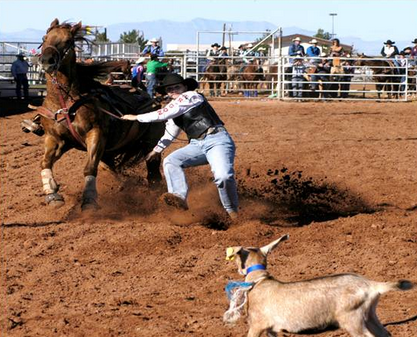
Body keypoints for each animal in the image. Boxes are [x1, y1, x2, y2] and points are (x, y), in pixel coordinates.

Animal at [35, 19, 164, 209]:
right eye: (44, 38)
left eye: (68, 41)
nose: (46, 61)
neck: (65, 103)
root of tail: (153, 101)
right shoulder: (56, 138)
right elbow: (45, 162)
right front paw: (52, 194)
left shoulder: (95, 134)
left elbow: (89, 167)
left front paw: (89, 200)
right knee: (112, 168)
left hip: (151, 145)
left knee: (153, 172)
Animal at [224, 235, 412, 336]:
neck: (259, 281)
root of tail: (371, 285)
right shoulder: (272, 329)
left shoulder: (257, 324)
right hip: (370, 315)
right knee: (384, 333)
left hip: (352, 318)